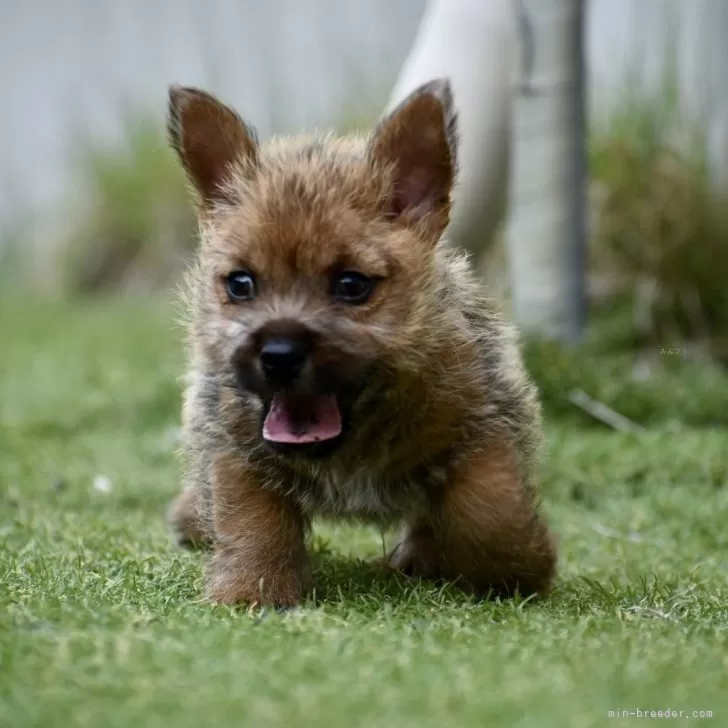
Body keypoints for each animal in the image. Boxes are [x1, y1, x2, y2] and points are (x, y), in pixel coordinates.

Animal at [165, 79, 556, 604]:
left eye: (352, 285)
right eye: (240, 284)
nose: (278, 355)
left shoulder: (482, 427)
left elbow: (489, 513)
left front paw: (523, 567)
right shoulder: (235, 448)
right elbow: (251, 520)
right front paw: (251, 590)